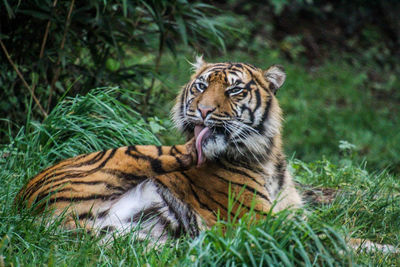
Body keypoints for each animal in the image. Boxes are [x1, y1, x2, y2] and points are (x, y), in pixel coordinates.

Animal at [15, 58, 304, 243]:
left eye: (234, 90)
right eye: (201, 86)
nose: (204, 111)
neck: (267, 159)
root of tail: (22, 207)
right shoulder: (256, 220)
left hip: (128, 238)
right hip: (133, 152)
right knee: (183, 151)